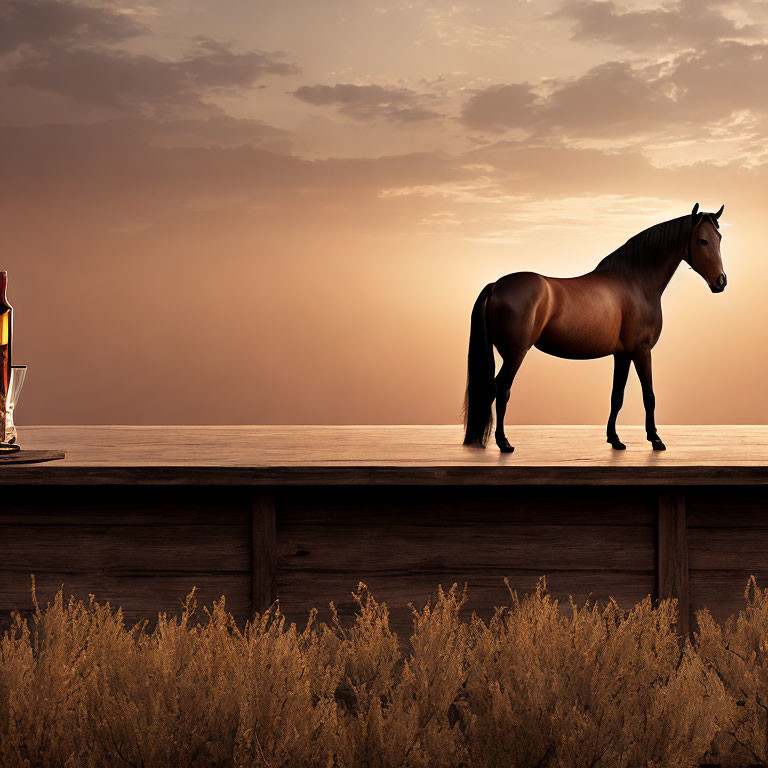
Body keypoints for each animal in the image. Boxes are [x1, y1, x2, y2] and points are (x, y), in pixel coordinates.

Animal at [462, 206, 728, 456]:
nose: (721, 281)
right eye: (702, 240)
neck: (635, 283)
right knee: (501, 389)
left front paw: (615, 440)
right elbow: (649, 396)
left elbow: (617, 396)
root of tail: (496, 285)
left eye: (719, 237)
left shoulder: (622, 354)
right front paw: (655, 439)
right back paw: (503, 443)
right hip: (515, 354)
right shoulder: (641, 351)